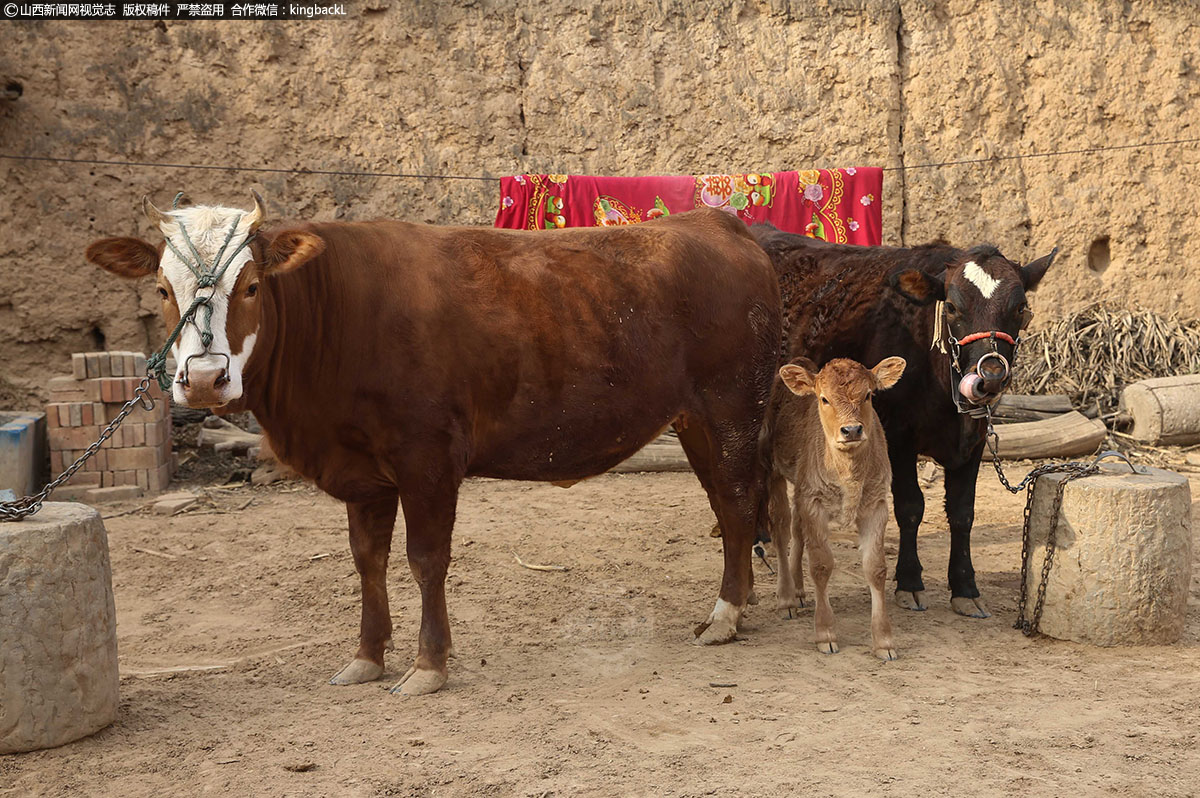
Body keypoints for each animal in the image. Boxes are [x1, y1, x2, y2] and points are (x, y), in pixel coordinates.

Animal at [84, 195, 777, 696]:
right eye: (163, 290)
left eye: (252, 286)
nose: (204, 379)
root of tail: (719, 222)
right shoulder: (363, 472)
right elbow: (367, 561)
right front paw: (366, 657)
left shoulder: (428, 458)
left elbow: (425, 560)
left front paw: (428, 666)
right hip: (694, 421)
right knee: (727, 506)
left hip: (732, 409)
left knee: (739, 501)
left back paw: (725, 615)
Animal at [753, 224, 1056, 614]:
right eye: (952, 307)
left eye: (1020, 308)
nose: (990, 375)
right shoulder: (897, 437)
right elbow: (911, 507)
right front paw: (910, 581)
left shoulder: (974, 440)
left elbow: (962, 512)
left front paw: (965, 587)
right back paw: (761, 537)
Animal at [772, 355, 902, 657]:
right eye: (824, 398)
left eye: (868, 395)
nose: (852, 430)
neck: (848, 474)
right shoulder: (814, 502)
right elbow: (821, 565)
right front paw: (825, 633)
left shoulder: (877, 504)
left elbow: (876, 568)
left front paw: (884, 641)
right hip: (772, 472)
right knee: (781, 528)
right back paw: (786, 597)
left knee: (797, 530)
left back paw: (798, 589)